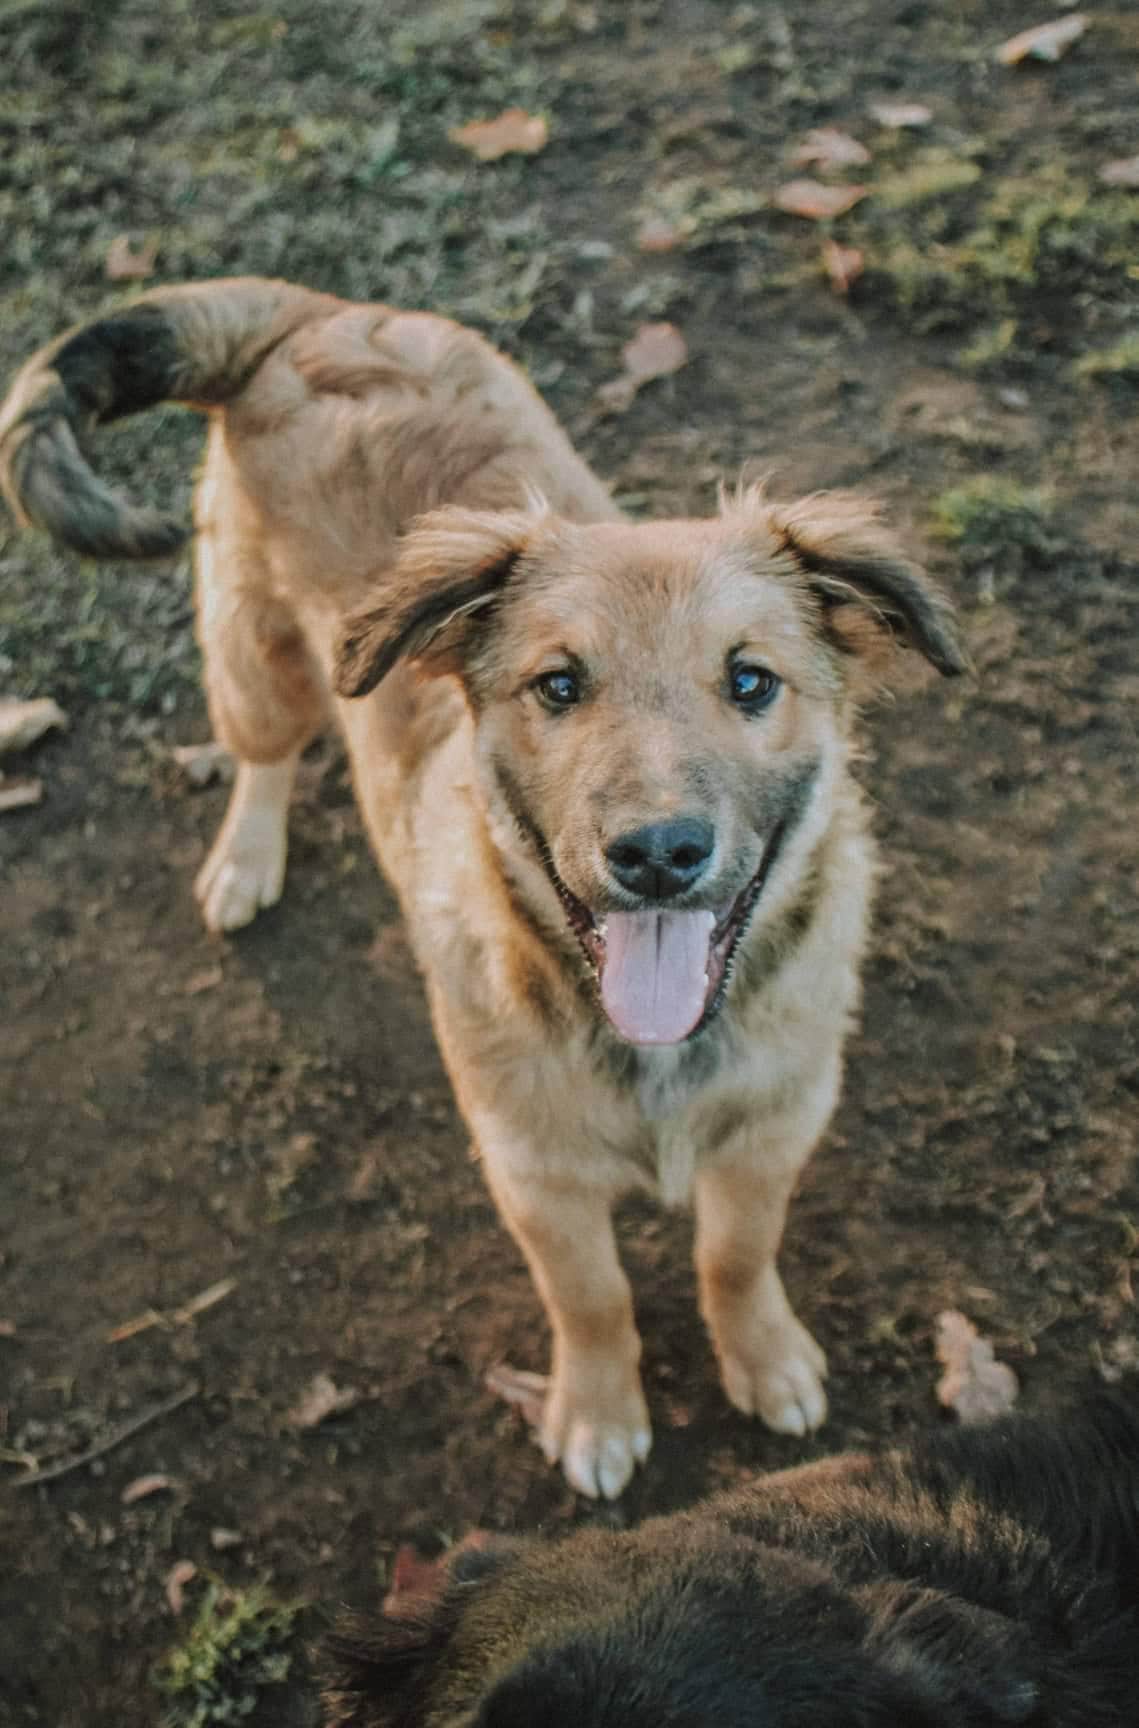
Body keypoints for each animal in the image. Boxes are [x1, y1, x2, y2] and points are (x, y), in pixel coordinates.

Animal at [0, 278, 966, 1497]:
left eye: (751, 681)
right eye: (557, 685)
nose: (657, 854)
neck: (652, 1051)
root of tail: (311, 311)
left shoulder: (773, 1129)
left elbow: (735, 1257)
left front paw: (764, 1356)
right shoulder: (532, 1172)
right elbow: (591, 1298)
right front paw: (596, 1415)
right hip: (258, 657)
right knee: (265, 750)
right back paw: (245, 858)